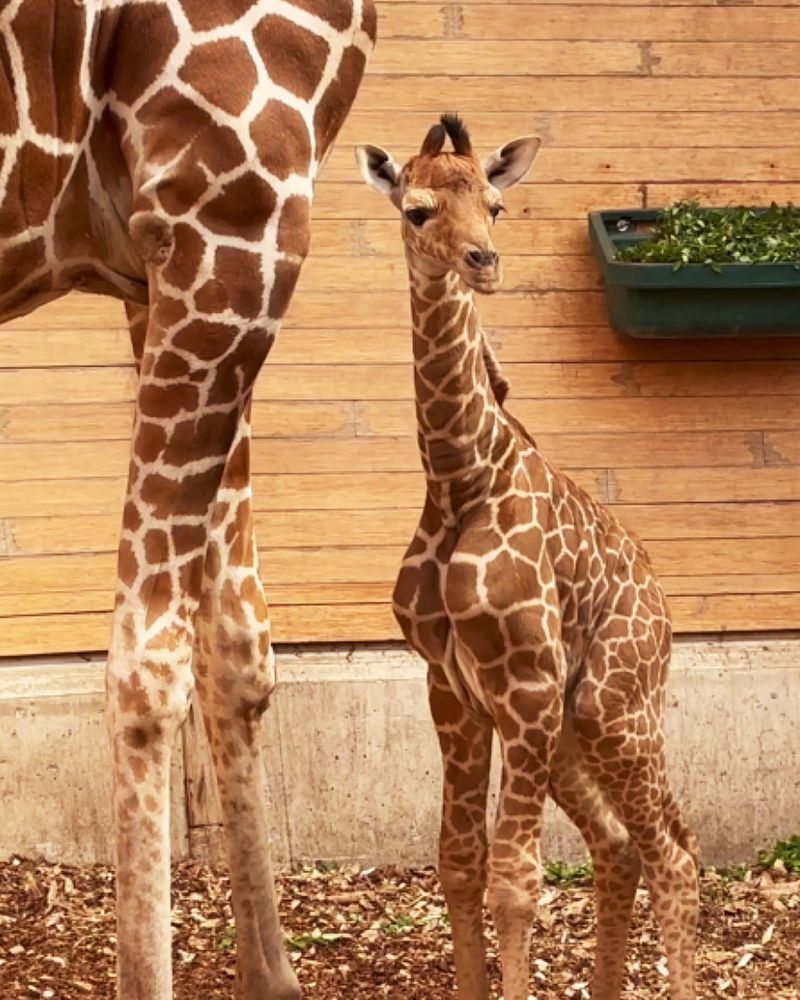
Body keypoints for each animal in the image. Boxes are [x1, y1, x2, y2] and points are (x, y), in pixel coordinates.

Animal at [357, 114, 700, 1000]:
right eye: (416, 211)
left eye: (496, 205)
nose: (484, 261)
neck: (460, 477)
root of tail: (666, 609)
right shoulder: (452, 690)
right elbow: (459, 863)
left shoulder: (526, 684)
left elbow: (515, 880)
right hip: (572, 728)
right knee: (622, 846)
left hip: (612, 706)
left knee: (675, 855)